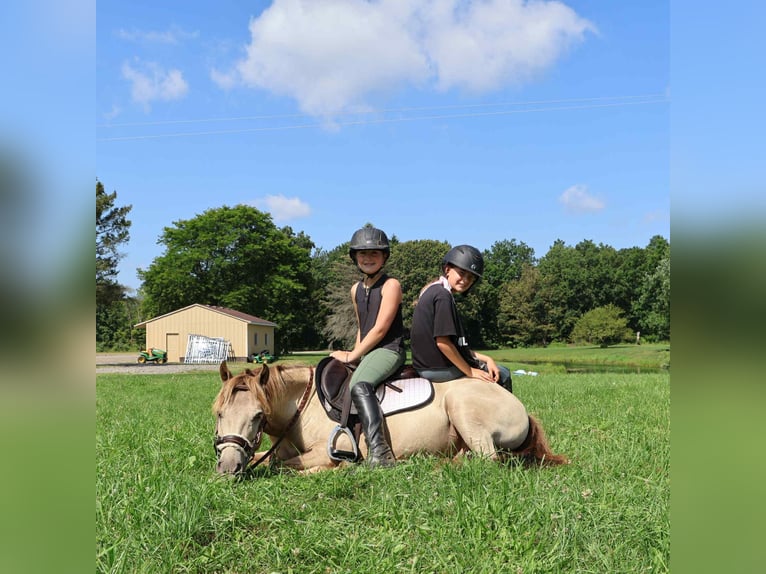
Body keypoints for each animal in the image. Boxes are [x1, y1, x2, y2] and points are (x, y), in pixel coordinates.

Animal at [212, 361, 568, 475]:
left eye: (258, 415)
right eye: (218, 413)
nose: (227, 468)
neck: (304, 407)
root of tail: (520, 406)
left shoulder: (327, 453)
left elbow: (284, 466)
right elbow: (269, 458)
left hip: (462, 407)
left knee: (487, 459)